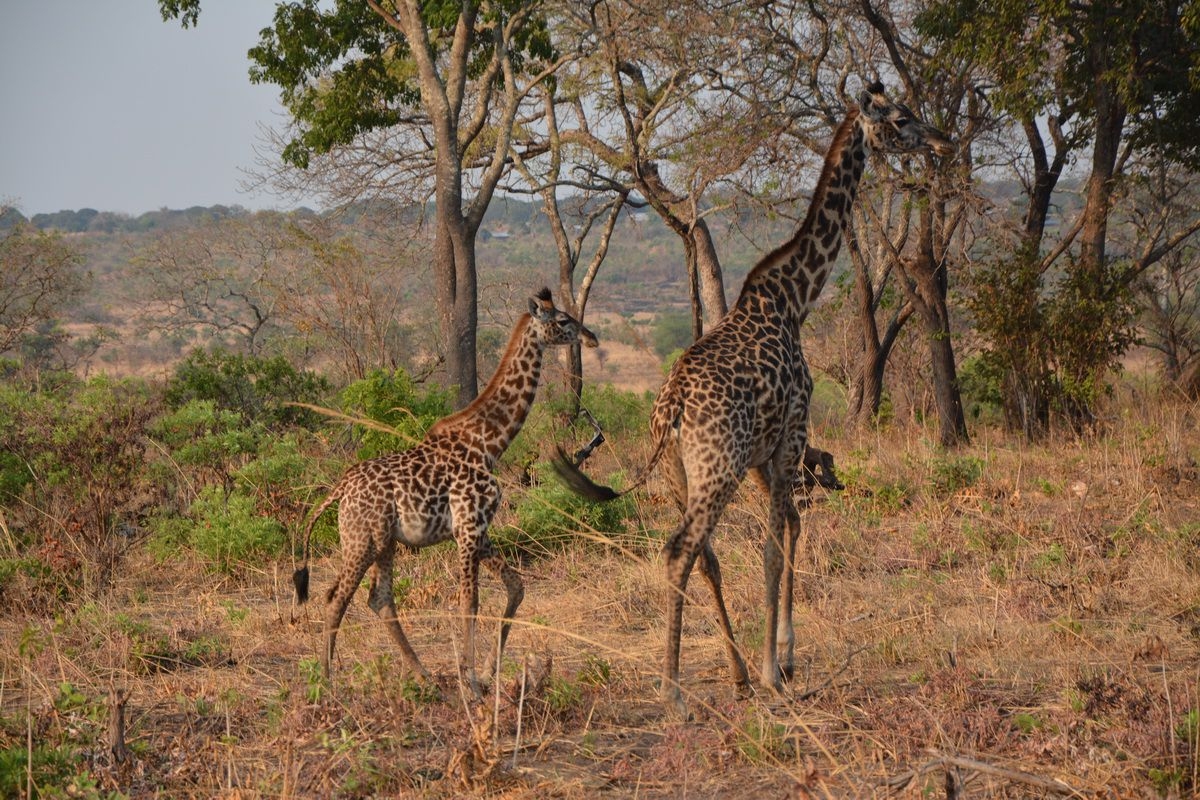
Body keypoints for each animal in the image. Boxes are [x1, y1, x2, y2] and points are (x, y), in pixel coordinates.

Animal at [295, 287, 600, 695]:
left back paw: (422, 675)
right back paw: (326, 681)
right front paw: (470, 680)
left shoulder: (477, 530)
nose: (592, 337)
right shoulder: (469, 527)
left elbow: (516, 587)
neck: (490, 444)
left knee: (379, 598)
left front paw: (486, 672)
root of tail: (340, 488)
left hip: (384, 541)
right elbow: (469, 600)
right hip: (363, 539)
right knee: (337, 596)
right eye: (563, 320)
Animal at [554, 82, 955, 719]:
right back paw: (674, 692)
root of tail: (668, 414)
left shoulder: (768, 453)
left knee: (705, 556)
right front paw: (775, 672)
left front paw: (781, 658)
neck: (794, 299)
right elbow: (771, 546)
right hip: (717, 470)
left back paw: (731, 673)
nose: (943, 141)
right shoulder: (793, 432)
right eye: (899, 118)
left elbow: (789, 526)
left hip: (681, 475)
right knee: (680, 550)